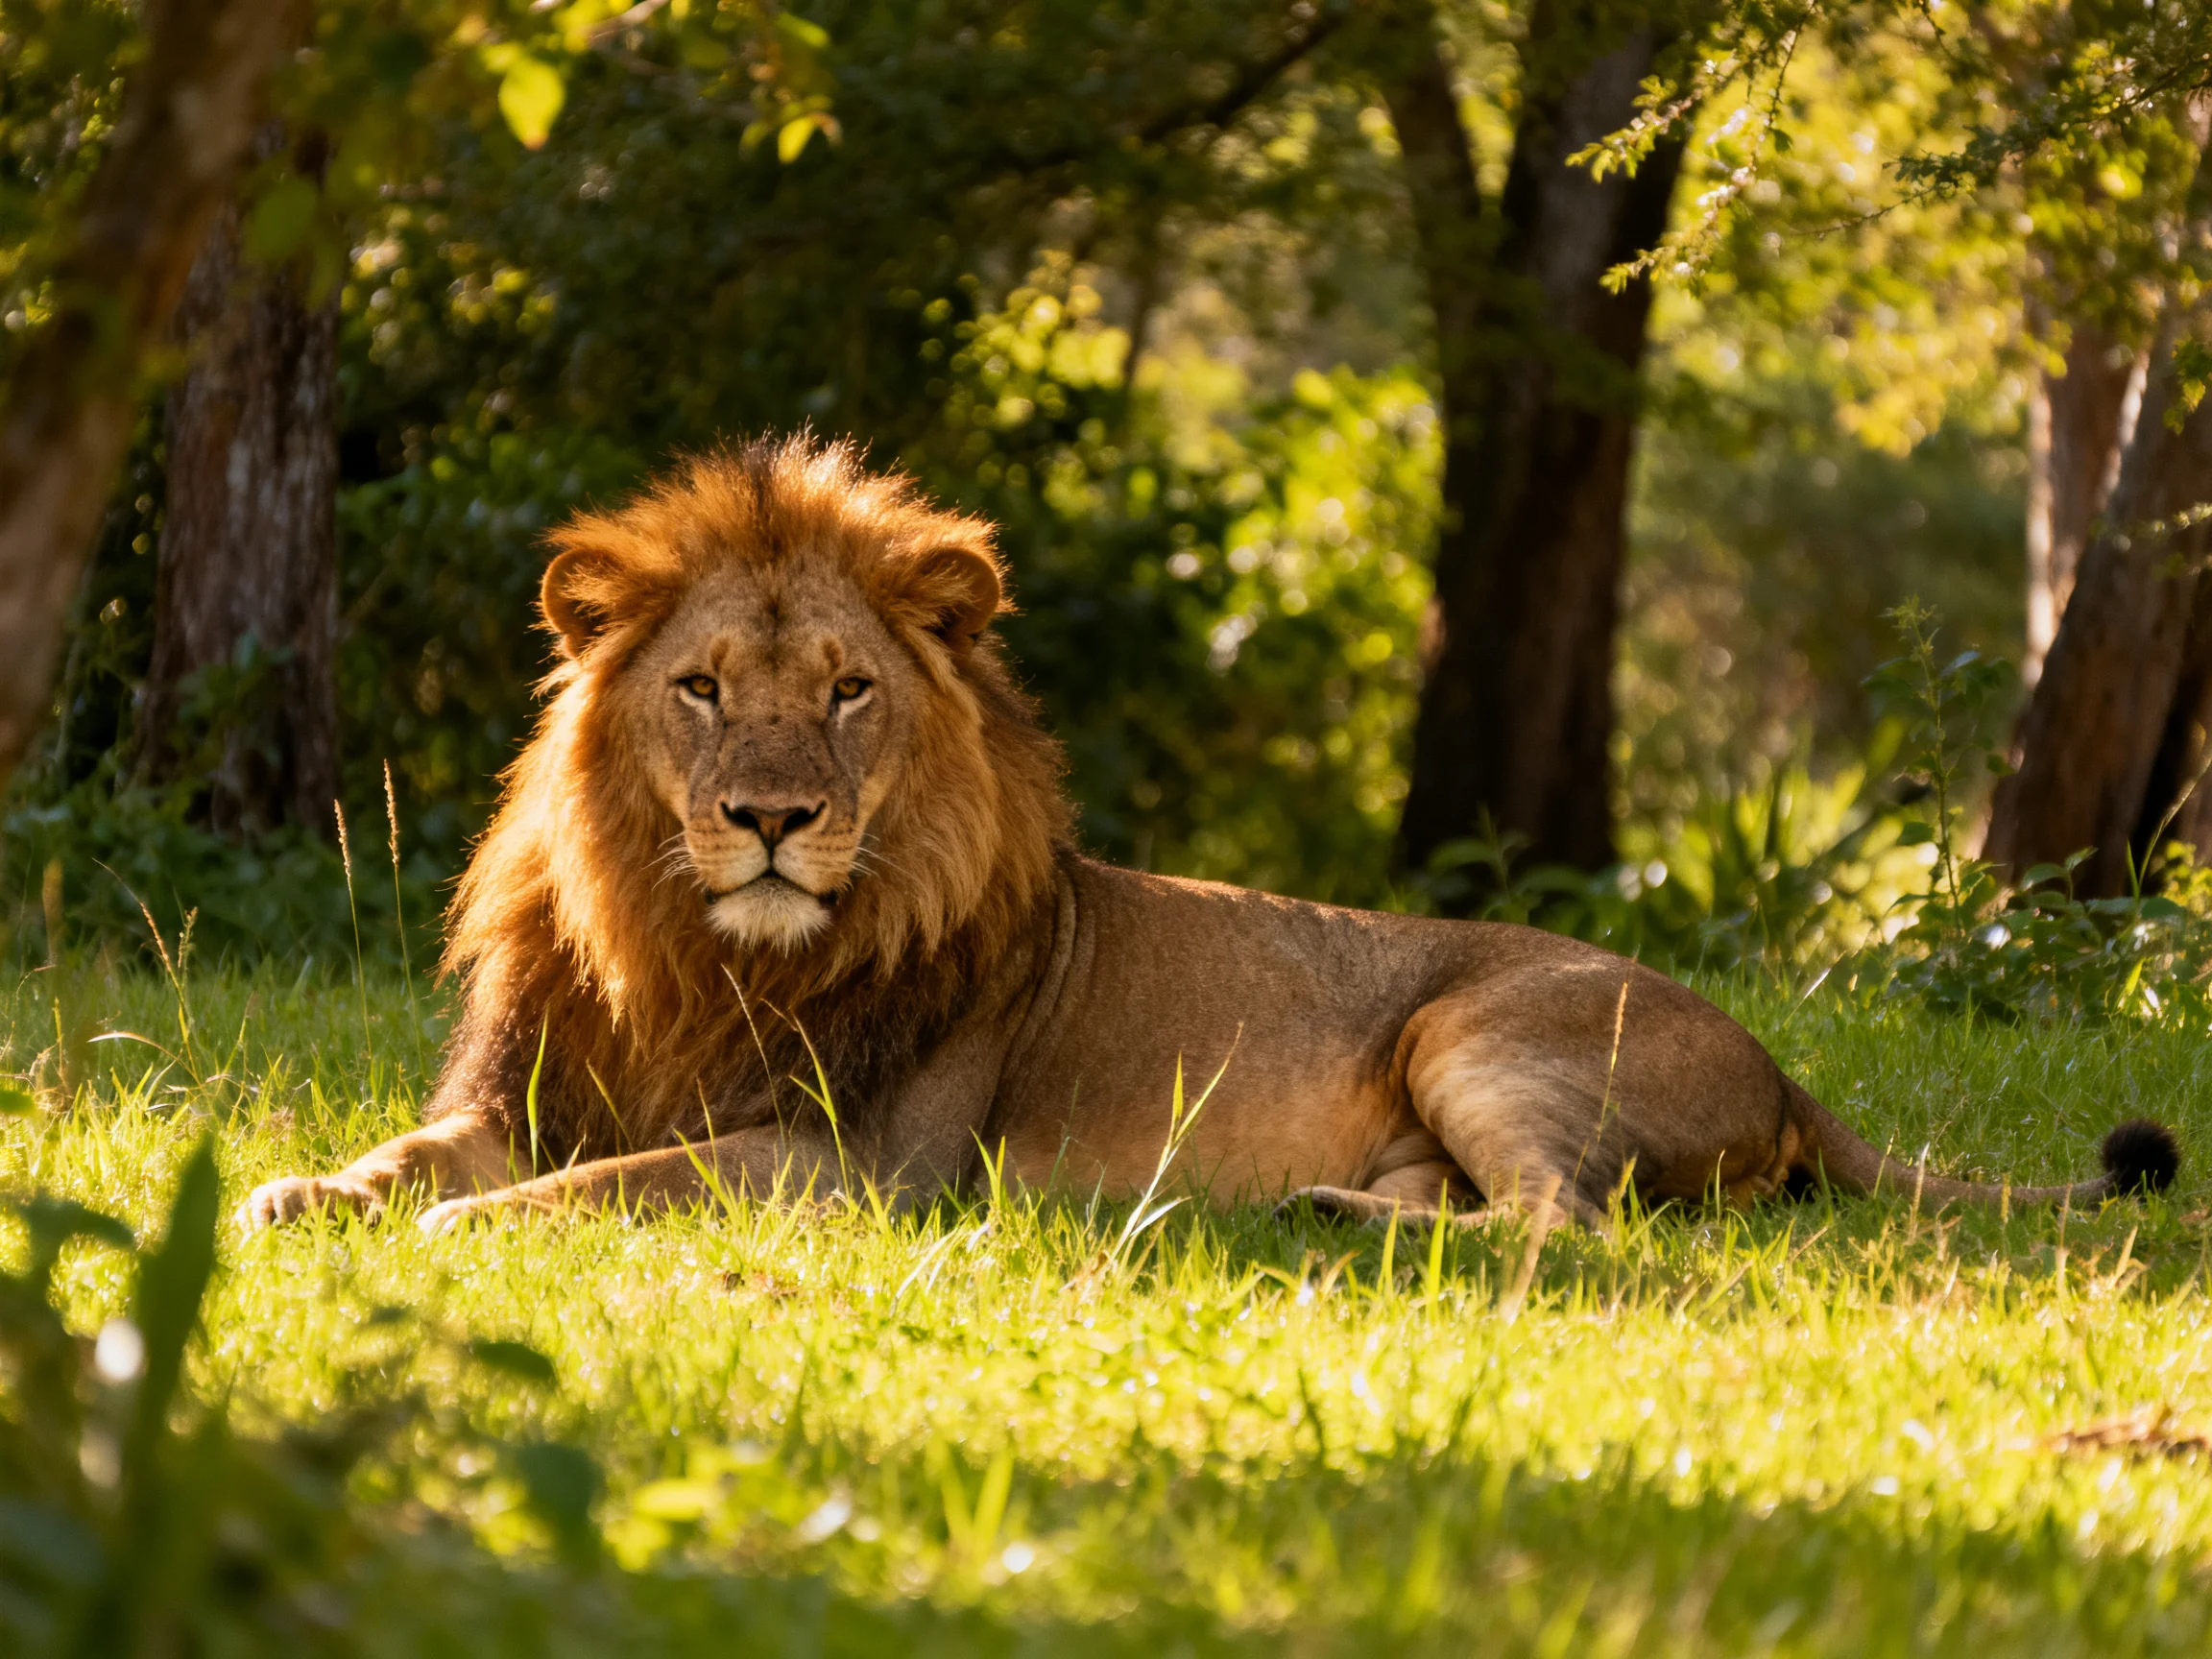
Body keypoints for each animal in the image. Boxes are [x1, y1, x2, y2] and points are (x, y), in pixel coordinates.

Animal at [238, 436, 2180, 1239]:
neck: (700, 955)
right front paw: (293, 1192)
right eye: (703, 688)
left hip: (1478, 1024)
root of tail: (1785, 1068)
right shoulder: (514, 1086)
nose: (769, 817)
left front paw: (456, 1240)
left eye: (848, 693)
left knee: (1582, 1231)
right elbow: (417, 1151)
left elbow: (602, 1185)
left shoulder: (855, 1163)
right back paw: (1315, 1212)